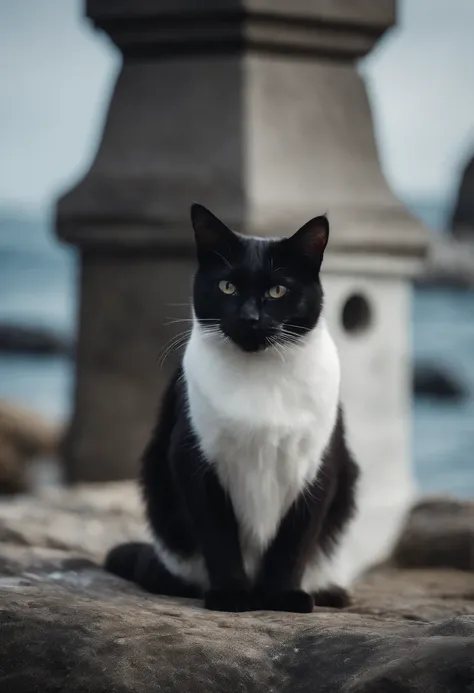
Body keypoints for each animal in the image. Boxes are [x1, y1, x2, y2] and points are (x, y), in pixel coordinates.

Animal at [105, 203, 360, 612]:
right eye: (228, 286)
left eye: (277, 290)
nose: (250, 317)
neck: (260, 379)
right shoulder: (194, 461)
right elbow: (218, 536)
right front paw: (231, 595)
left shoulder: (319, 466)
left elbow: (294, 541)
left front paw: (284, 597)